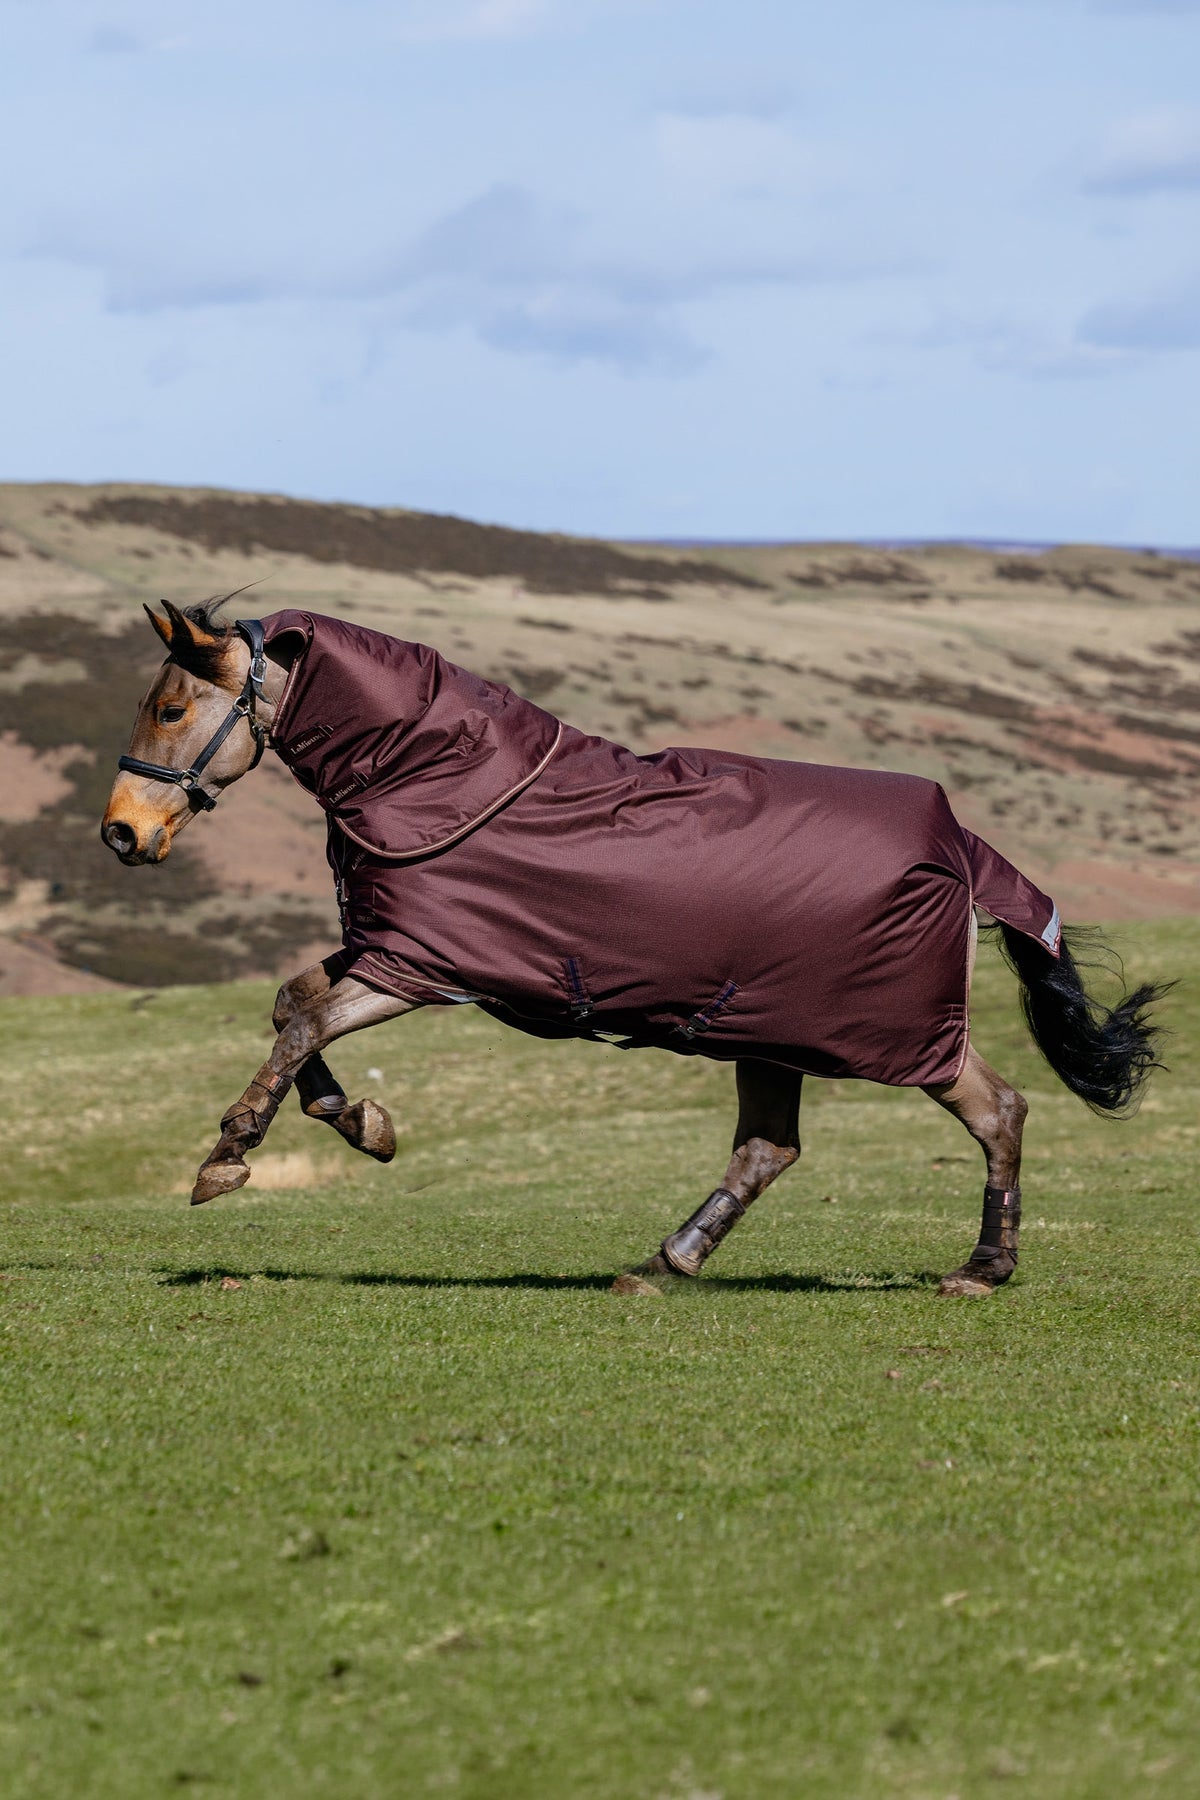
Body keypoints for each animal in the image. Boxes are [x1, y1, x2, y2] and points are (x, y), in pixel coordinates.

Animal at [101, 599, 1167, 1296]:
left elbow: (305, 1022)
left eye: (169, 709)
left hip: (889, 1037)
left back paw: (982, 1268)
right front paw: (362, 1121)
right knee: (769, 1150)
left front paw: (230, 1154)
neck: (436, 778)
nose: (122, 833)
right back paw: (666, 1262)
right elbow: (292, 1006)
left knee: (997, 1111)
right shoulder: (391, 948)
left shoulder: (421, 965)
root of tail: (959, 844)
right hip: (766, 1031)